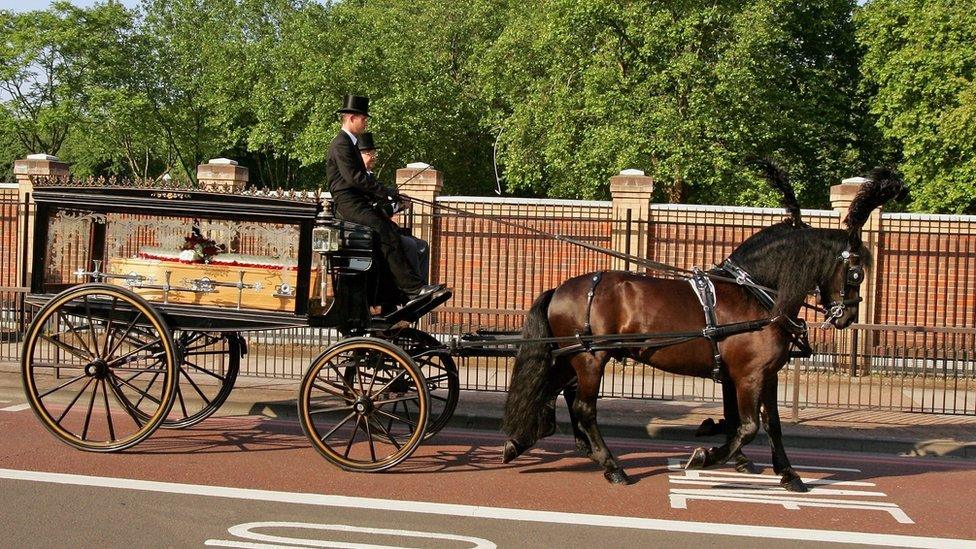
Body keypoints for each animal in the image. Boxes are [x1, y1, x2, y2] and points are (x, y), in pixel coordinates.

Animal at [508, 167, 904, 488]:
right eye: (856, 272)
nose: (846, 316)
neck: (755, 294)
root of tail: (561, 289)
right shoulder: (748, 375)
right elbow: (748, 426)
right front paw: (707, 456)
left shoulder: (763, 374)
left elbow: (770, 424)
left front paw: (788, 474)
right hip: (591, 358)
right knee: (584, 408)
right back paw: (612, 465)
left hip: (571, 356)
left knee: (551, 390)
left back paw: (524, 442)